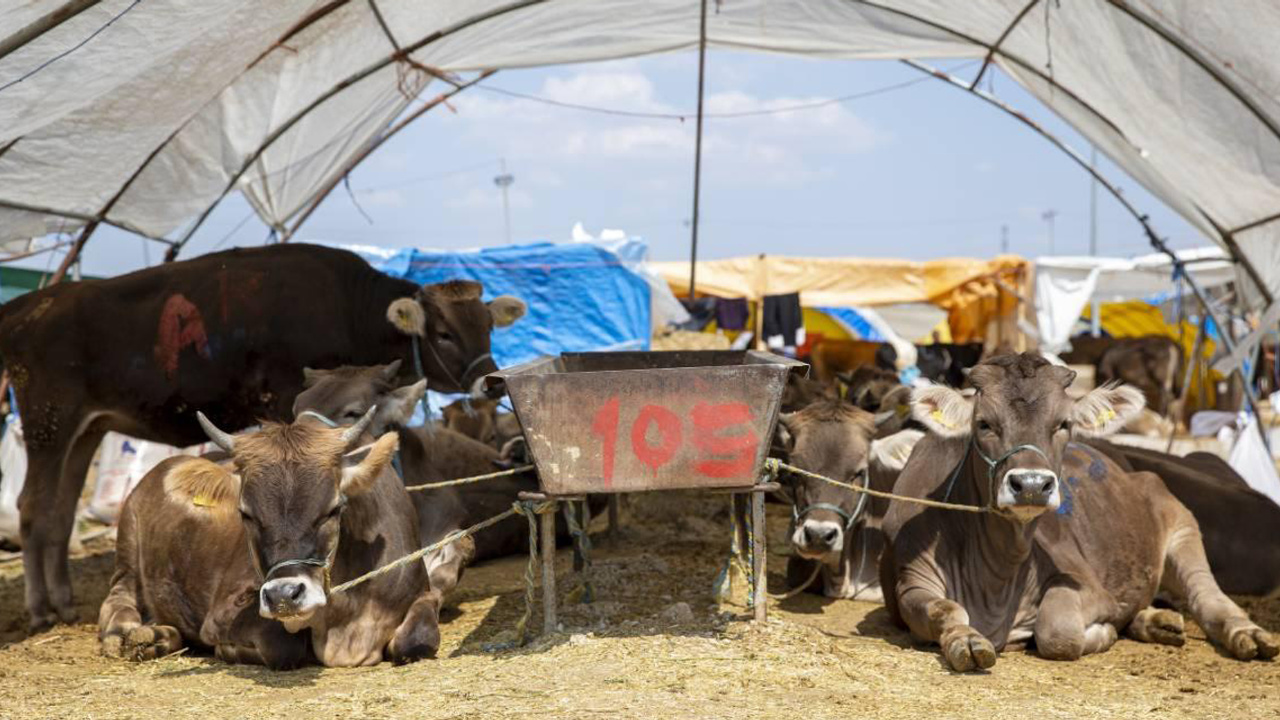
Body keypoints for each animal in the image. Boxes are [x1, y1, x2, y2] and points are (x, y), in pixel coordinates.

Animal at [0, 240, 524, 627]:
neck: (347, 303)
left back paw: (64, 601)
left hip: (84, 431)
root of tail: (26, 306)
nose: (486, 380)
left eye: (487, 326)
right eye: (444, 334)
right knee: (35, 508)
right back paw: (42, 610)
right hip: (49, 420)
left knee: (60, 510)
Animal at [93, 404, 435, 666]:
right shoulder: (222, 614)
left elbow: (416, 640)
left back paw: (156, 637)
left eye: (334, 509)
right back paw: (127, 634)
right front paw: (229, 650)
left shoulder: (424, 593)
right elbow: (282, 647)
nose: (283, 596)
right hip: (127, 543)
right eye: (246, 514)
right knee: (117, 598)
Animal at [885, 351, 1274, 671]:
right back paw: (1154, 622)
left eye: (1064, 424)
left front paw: (1102, 633)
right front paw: (966, 639)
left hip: (1181, 526)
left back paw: (1248, 634)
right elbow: (946, 609)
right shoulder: (910, 581)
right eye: (984, 423)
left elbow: (1057, 629)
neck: (996, 575)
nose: (1030, 484)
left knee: (1207, 596)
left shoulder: (1085, 583)